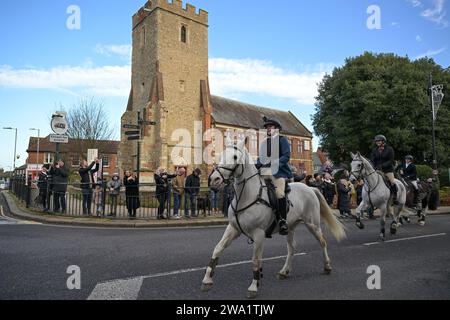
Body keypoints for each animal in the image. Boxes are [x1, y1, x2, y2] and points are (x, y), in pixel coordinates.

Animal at [200, 138, 344, 300]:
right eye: (222, 154)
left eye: (235, 157)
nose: (214, 179)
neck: (247, 196)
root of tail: (310, 188)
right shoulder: (233, 228)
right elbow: (217, 249)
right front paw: (207, 280)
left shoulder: (259, 233)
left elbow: (255, 260)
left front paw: (253, 286)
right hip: (290, 227)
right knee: (292, 248)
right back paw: (284, 271)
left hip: (312, 224)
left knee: (322, 242)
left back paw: (327, 266)